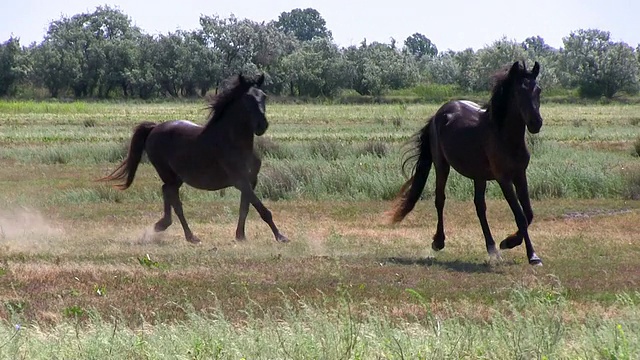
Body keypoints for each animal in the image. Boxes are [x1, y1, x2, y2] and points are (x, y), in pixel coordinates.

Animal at [99, 74, 288, 245]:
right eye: (247, 98)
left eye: (264, 96)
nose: (262, 125)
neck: (236, 143)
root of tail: (154, 128)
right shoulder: (239, 181)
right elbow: (262, 209)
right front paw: (280, 236)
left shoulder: (250, 180)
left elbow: (245, 207)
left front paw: (240, 236)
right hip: (167, 172)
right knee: (175, 201)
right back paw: (190, 236)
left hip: (176, 177)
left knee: (166, 191)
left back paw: (162, 225)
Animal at [388, 61, 544, 264]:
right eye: (519, 91)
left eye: (538, 90)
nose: (536, 123)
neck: (505, 137)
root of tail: (439, 113)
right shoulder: (504, 179)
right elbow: (520, 216)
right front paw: (530, 255)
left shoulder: (519, 175)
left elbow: (529, 213)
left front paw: (509, 243)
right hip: (442, 165)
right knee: (440, 199)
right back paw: (438, 242)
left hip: (479, 175)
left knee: (480, 207)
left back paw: (492, 248)